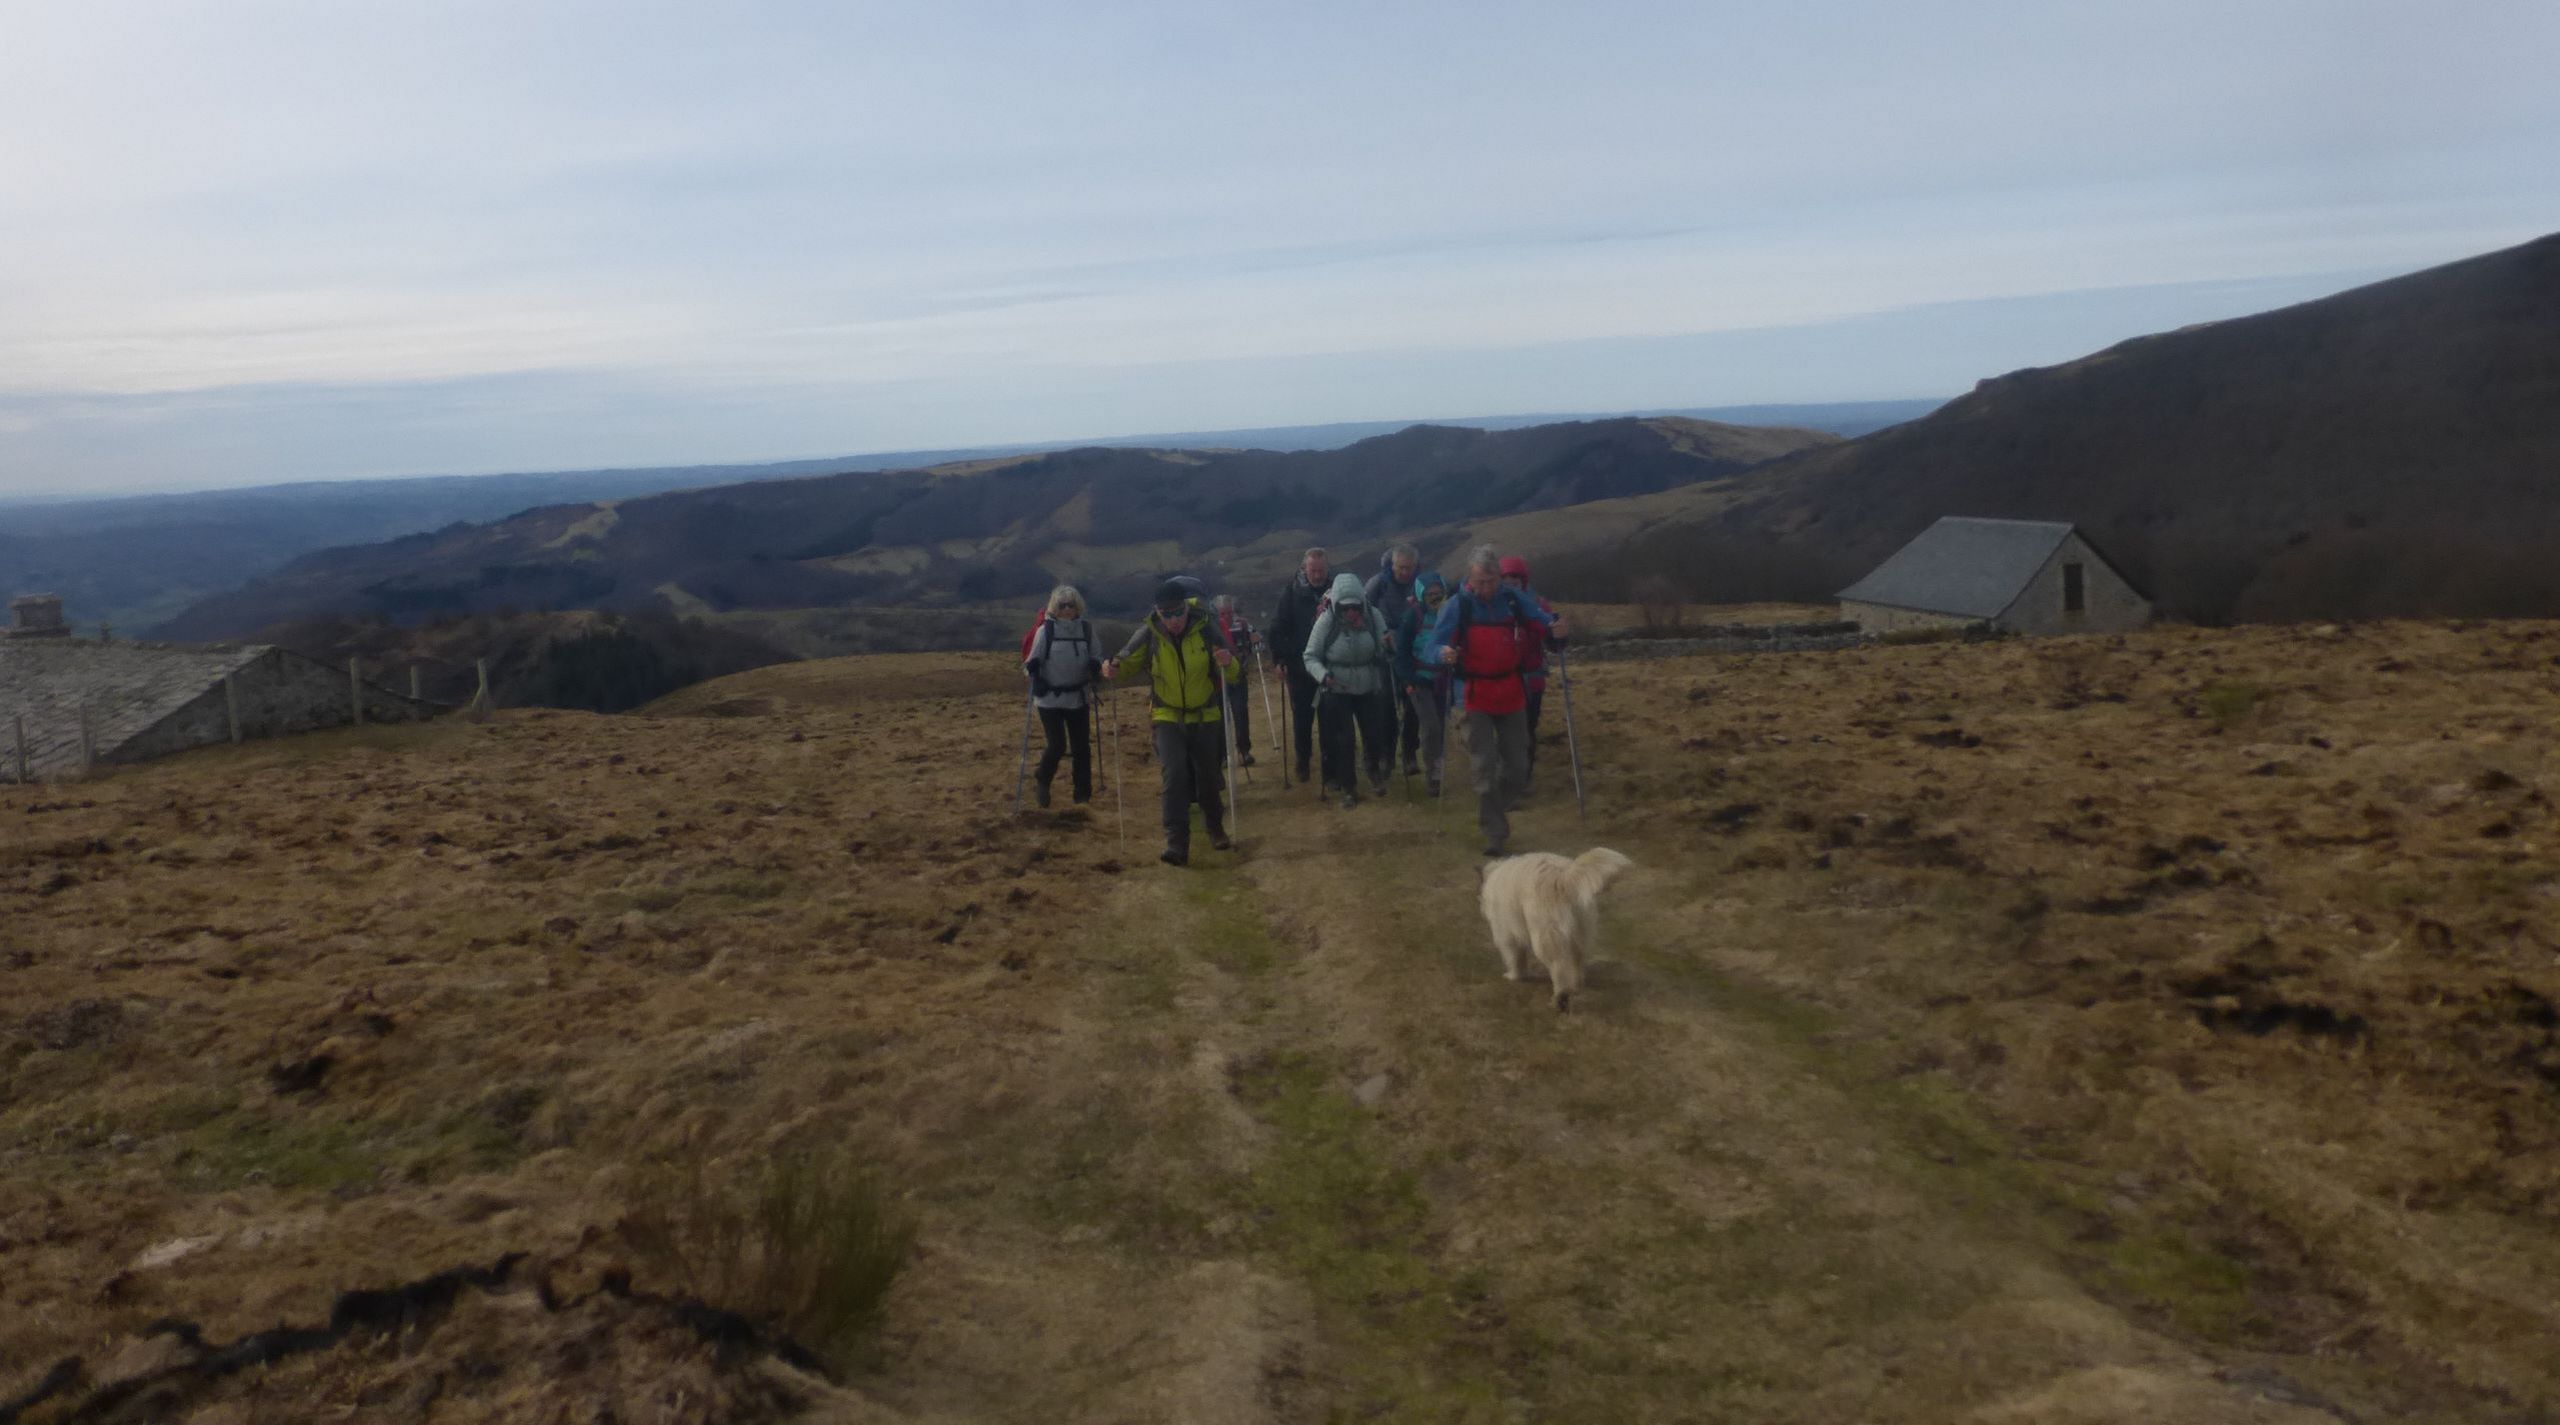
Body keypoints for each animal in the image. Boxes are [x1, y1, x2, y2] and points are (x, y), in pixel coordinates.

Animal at [1474, 844, 1628, 1013]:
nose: (1480, 904)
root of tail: (1562, 876)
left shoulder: (1506, 935)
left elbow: (1514, 958)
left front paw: (1514, 976)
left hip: (1545, 939)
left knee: (1559, 969)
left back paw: (1559, 998)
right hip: (1579, 933)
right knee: (1577, 962)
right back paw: (1576, 988)